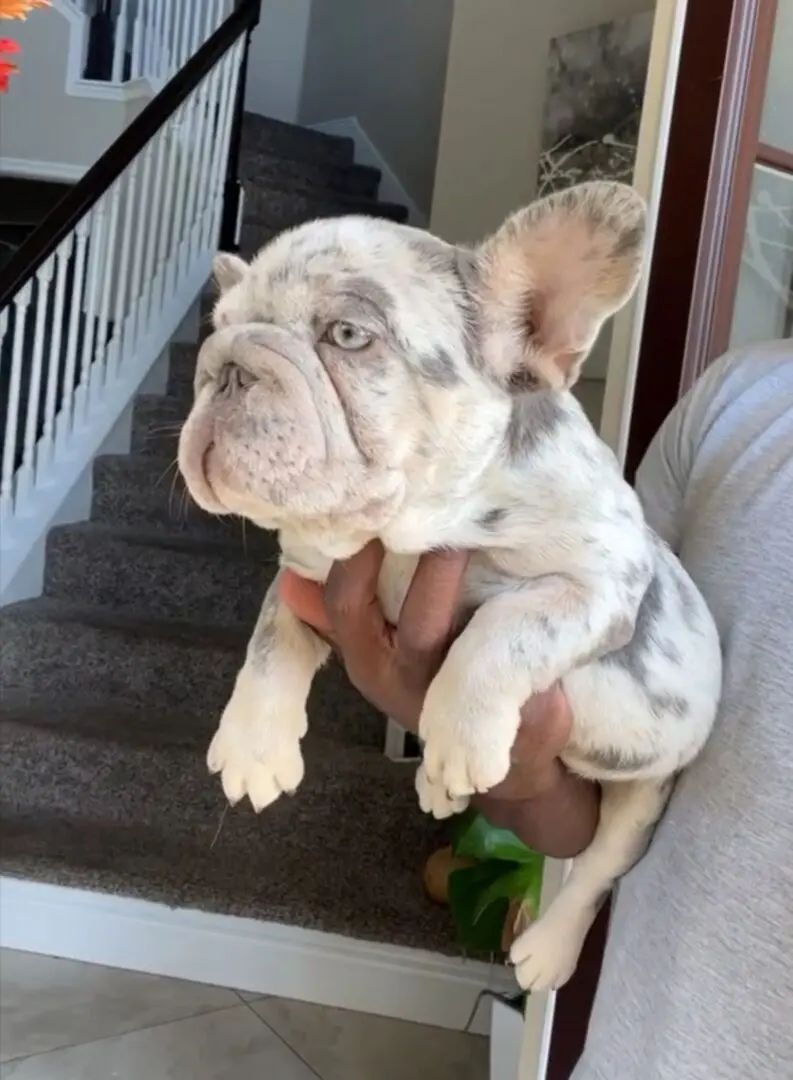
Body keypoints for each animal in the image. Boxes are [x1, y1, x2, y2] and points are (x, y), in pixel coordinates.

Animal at [180, 181, 726, 989]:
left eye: (347, 335)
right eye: (217, 331)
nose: (225, 366)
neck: (405, 535)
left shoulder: (605, 580)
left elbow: (510, 627)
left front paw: (462, 730)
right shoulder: (306, 574)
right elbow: (270, 636)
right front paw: (252, 744)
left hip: (644, 795)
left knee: (599, 867)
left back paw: (545, 946)